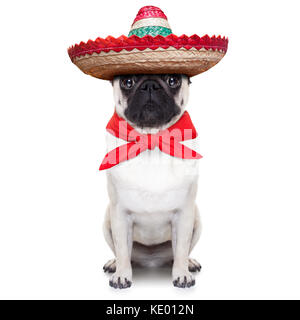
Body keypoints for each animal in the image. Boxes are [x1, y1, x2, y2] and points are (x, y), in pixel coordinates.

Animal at [103, 74, 202, 288]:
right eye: (127, 82)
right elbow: (122, 248)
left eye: (173, 80)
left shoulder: (185, 214)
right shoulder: (119, 215)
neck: (151, 138)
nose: (150, 85)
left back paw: (189, 263)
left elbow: (182, 248)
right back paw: (114, 264)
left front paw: (181, 273)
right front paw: (122, 274)